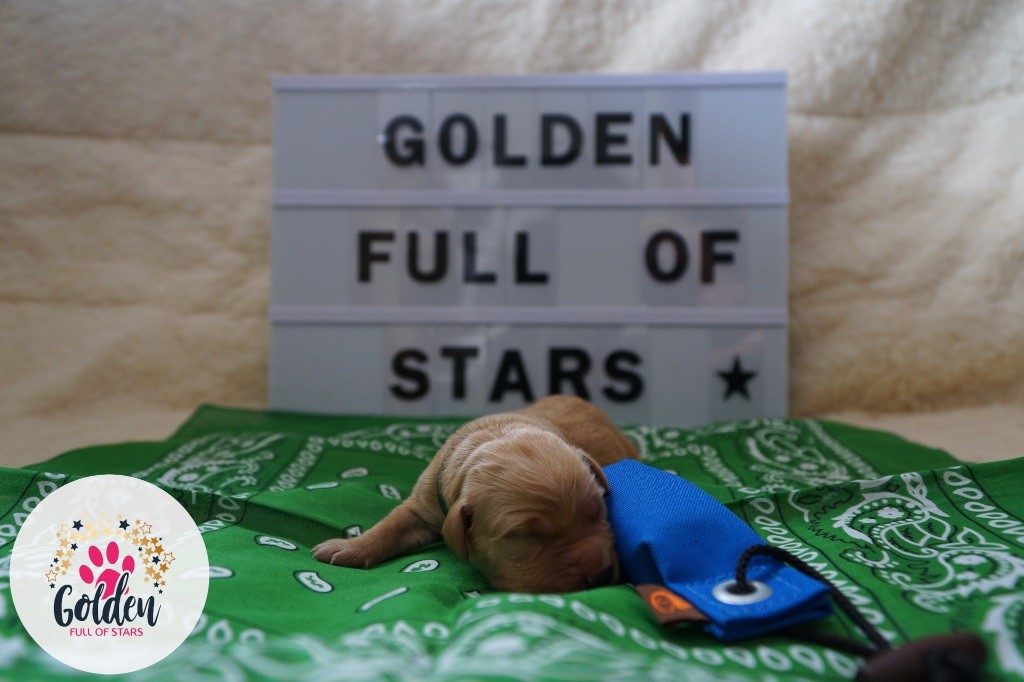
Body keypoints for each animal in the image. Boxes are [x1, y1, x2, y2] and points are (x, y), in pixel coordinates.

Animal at [312, 395, 639, 593]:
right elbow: (390, 526)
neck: (495, 436)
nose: (599, 575)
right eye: (527, 536)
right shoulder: (423, 504)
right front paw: (350, 547)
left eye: (599, 511)